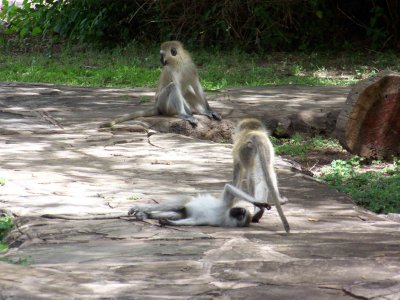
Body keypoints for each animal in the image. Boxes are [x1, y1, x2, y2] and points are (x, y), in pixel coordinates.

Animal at [128, 183, 272, 227]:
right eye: (241, 211)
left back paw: (146, 214)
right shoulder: (225, 208)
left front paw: (168, 222)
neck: (225, 216)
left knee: (177, 212)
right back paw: (142, 209)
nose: (240, 211)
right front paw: (259, 203)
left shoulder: (211, 221)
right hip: (187, 200)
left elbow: (193, 221)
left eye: (241, 216)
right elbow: (229, 189)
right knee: (178, 205)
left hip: (183, 211)